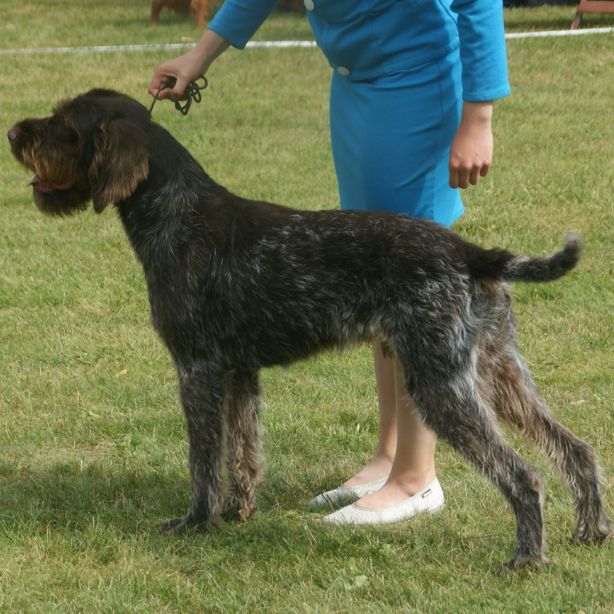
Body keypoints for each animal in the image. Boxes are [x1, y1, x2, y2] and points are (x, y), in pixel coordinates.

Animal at [8, 89, 612, 572]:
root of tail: (470, 251)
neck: (175, 213)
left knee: (524, 476)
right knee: (576, 449)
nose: (13, 133)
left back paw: (526, 559)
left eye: (65, 125)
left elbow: (204, 459)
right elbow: (244, 450)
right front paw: (238, 511)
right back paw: (590, 531)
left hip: (441, 383)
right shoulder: (239, 372)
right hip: (497, 371)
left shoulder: (197, 368)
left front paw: (196, 521)